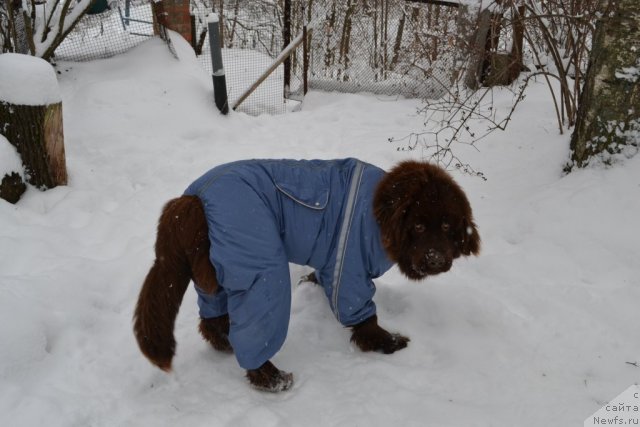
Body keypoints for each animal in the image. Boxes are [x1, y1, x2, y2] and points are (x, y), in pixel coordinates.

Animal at [132, 160, 478, 392]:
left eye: (447, 225)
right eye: (418, 225)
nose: (436, 259)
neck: (378, 216)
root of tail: (190, 200)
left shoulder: (331, 259)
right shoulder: (350, 265)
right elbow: (362, 313)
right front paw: (386, 342)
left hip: (215, 272)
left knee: (212, 320)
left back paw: (228, 344)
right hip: (262, 264)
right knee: (254, 331)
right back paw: (269, 376)